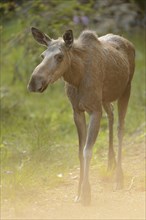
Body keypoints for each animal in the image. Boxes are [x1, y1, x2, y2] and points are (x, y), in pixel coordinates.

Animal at [27, 27, 135, 206]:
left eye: (59, 56)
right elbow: (79, 152)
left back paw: (119, 177)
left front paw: (86, 193)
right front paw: (78, 193)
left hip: (126, 89)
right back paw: (110, 164)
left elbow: (87, 151)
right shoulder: (77, 111)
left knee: (121, 128)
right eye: (42, 55)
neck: (76, 77)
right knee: (111, 114)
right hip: (105, 98)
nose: (34, 82)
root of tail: (129, 43)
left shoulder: (94, 110)